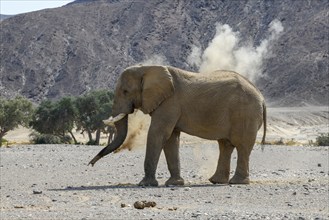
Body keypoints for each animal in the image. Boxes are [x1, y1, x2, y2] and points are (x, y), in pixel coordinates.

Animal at [88, 65, 266, 186]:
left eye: (125, 91)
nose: (91, 164)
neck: (147, 68)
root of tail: (261, 96)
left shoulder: (169, 103)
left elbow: (158, 134)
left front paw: (145, 184)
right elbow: (171, 139)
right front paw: (174, 183)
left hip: (246, 114)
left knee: (242, 145)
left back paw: (237, 182)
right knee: (225, 145)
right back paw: (216, 181)